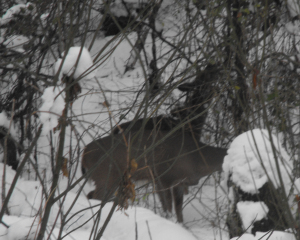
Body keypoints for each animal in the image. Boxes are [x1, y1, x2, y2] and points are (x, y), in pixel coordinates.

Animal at [81, 63, 226, 221]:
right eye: (205, 78)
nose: (214, 65)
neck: (189, 124)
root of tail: (84, 153)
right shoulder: (165, 175)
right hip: (108, 177)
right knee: (96, 196)